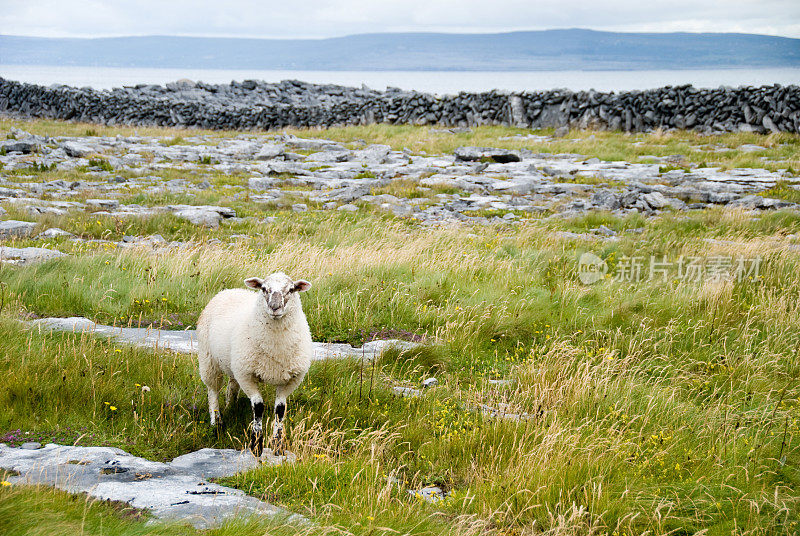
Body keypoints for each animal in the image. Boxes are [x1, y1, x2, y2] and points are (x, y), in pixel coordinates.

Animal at [195, 272, 314, 456]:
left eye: (291, 289)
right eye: (264, 288)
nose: (274, 307)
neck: (275, 348)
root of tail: (229, 290)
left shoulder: (291, 379)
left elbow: (280, 410)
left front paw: (278, 446)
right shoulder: (246, 375)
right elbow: (258, 407)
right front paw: (256, 445)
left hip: (234, 363)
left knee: (232, 385)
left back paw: (231, 406)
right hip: (209, 359)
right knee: (213, 391)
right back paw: (217, 423)